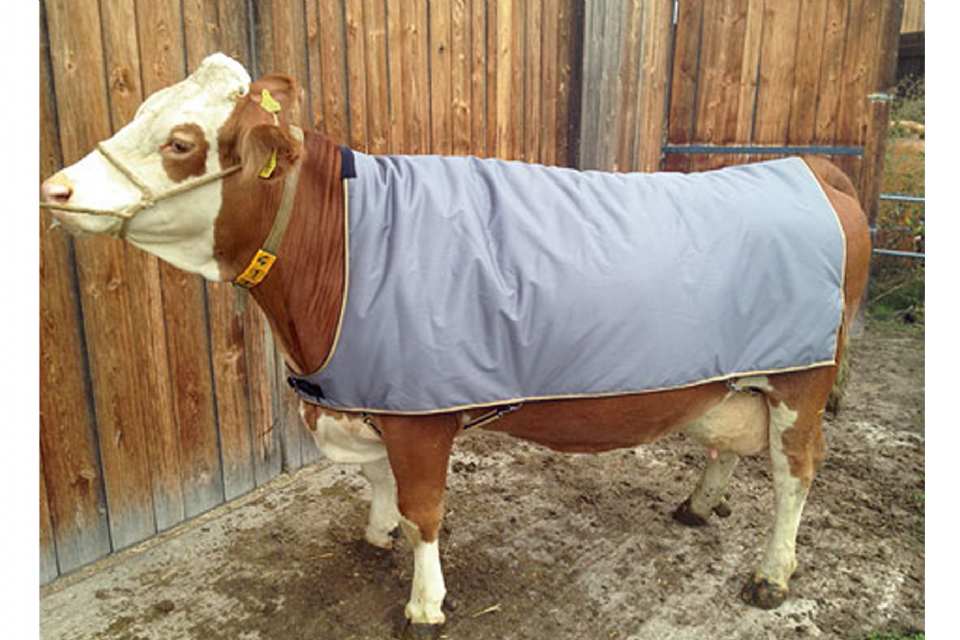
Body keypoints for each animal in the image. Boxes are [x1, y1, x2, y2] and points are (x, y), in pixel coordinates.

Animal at [41, 53, 870, 636]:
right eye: (141, 111)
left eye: (180, 142)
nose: (56, 190)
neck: (342, 249)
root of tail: (810, 166)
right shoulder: (373, 394)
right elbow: (380, 488)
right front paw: (376, 532)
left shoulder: (420, 415)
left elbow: (425, 510)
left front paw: (424, 604)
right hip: (740, 372)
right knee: (729, 440)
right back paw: (699, 504)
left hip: (803, 381)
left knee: (796, 473)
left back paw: (773, 574)